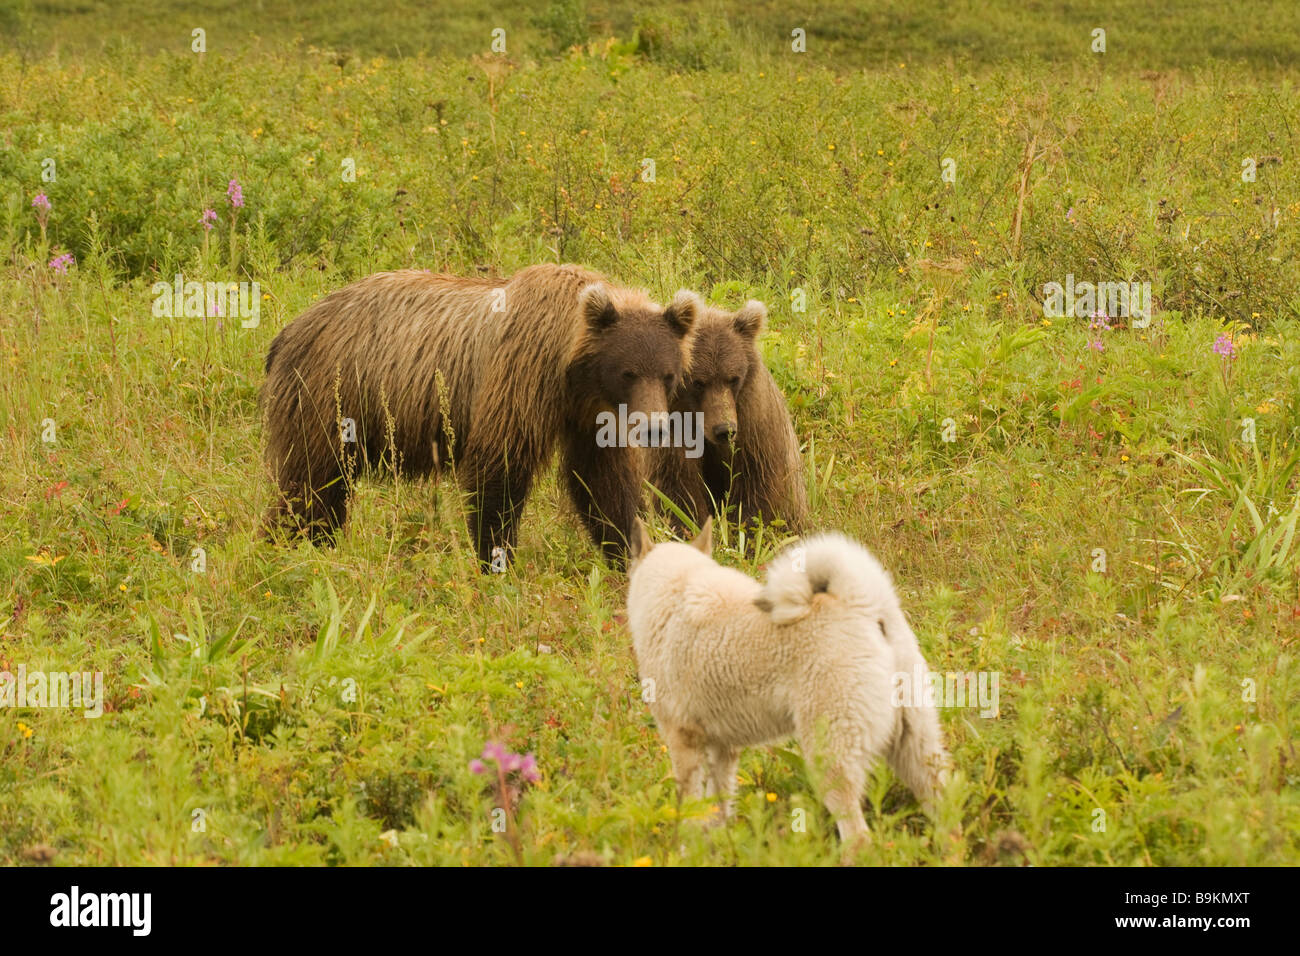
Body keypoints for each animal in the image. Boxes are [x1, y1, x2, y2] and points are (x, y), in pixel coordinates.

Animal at [257, 261, 696, 567]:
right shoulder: (519, 376)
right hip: (330, 394)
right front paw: (496, 559)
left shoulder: (590, 417)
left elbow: (603, 483)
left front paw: (629, 548)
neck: (571, 371)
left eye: (668, 374)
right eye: (628, 372)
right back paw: (283, 547)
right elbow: (499, 469)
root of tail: (288, 331)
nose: (655, 428)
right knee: (310, 483)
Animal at [624, 520, 951, 842]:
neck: (673, 591)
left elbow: (690, 813)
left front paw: (688, 849)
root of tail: (863, 606)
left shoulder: (683, 742)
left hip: (830, 760)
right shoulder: (723, 749)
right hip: (918, 752)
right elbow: (718, 809)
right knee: (946, 814)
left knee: (858, 838)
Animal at [655, 299, 806, 535]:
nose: (724, 429)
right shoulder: (674, 424)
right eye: (699, 382)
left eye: (733, 378)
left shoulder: (754, 423)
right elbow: (678, 486)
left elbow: (756, 484)